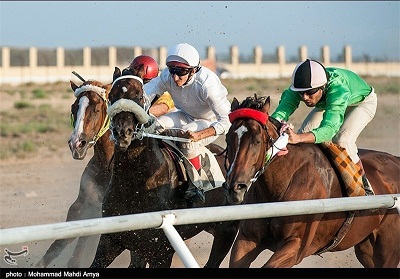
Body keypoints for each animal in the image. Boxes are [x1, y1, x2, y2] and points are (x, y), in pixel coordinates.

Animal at [89, 66, 239, 270]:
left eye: (139, 96)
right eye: (112, 95)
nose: (122, 132)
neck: (134, 186)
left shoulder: (162, 250)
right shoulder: (112, 241)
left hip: (226, 231)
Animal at [223, 94, 400, 270]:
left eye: (257, 140)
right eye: (228, 139)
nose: (235, 188)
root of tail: (395, 159)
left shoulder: (295, 246)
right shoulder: (246, 239)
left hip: (387, 250)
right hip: (366, 248)